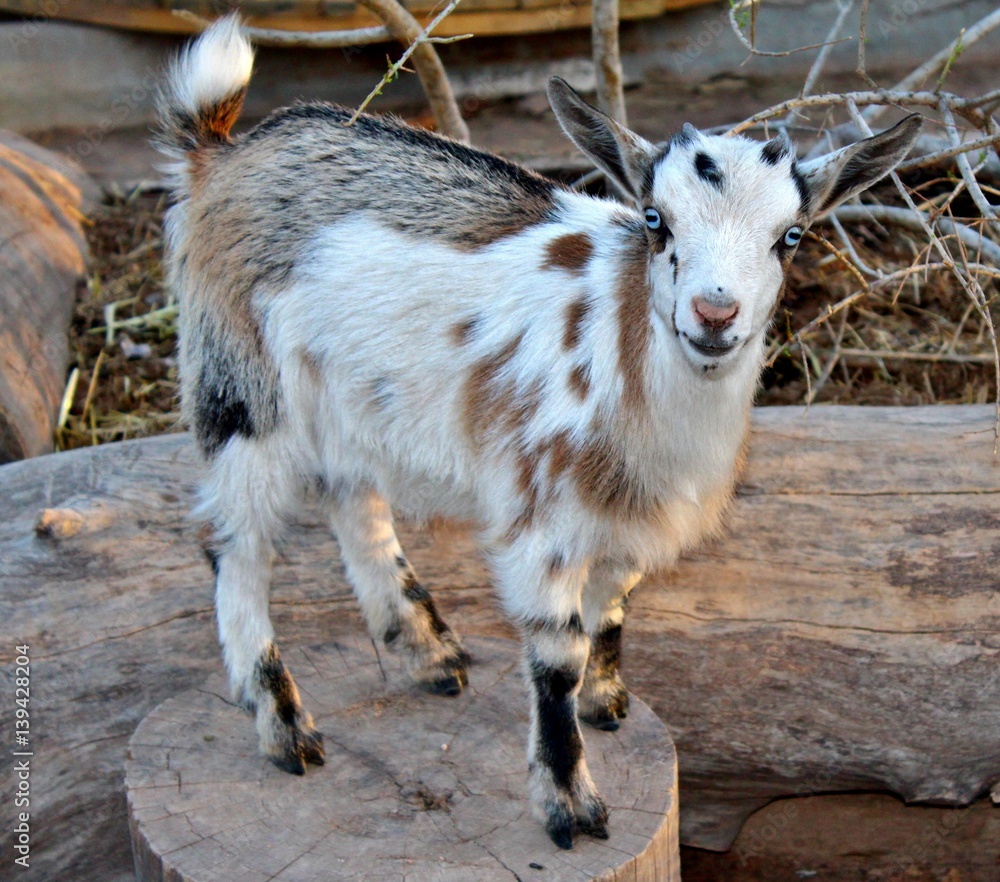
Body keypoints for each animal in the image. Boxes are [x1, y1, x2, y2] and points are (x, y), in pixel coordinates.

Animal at [155, 16, 921, 850]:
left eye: (792, 235)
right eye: (656, 221)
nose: (714, 315)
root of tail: (221, 150)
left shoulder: (627, 520)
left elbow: (609, 611)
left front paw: (605, 699)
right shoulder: (543, 516)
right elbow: (556, 654)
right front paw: (569, 805)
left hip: (349, 398)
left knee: (353, 503)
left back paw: (428, 652)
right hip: (241, 386)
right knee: (235, 542)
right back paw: (283, 725)